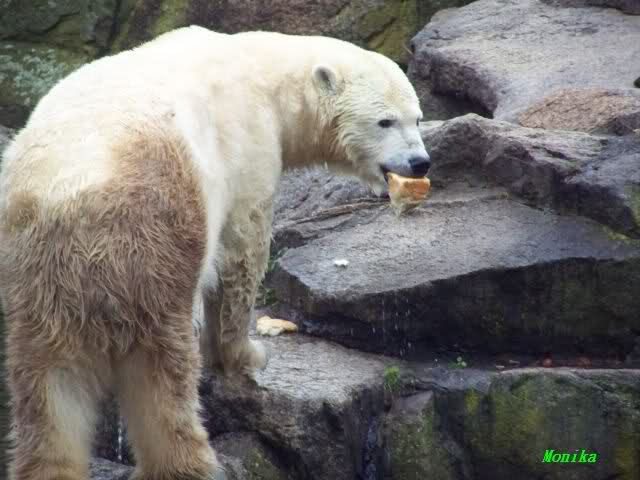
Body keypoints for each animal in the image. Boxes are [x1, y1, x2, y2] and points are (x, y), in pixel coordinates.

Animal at [0, 26, 430, 480]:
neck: (266, 73)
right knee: (161, 368)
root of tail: (73, 208)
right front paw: (247, 355)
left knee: (48, 384)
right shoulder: (249, 146)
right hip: (153, 239)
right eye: (385, 120)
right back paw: (188, 463)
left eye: (418, 117)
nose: (420, 162)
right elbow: (242, 251)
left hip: (38, 277)